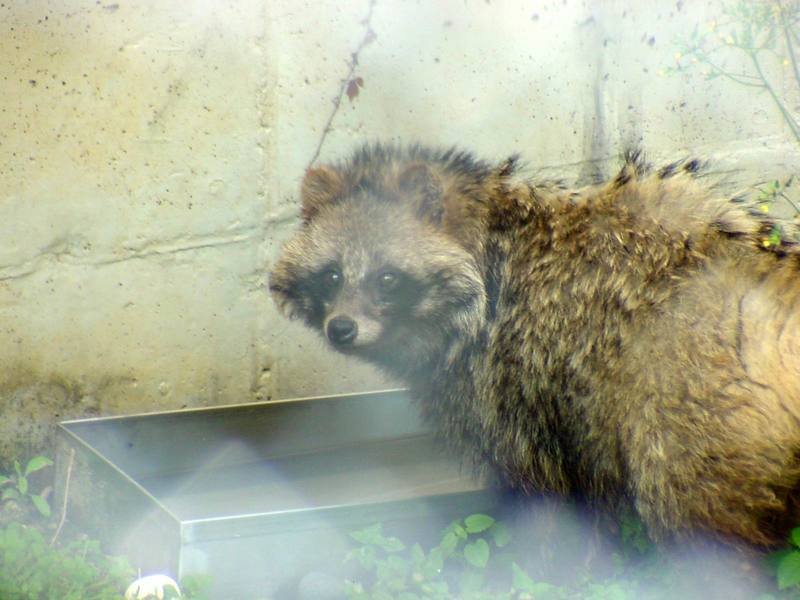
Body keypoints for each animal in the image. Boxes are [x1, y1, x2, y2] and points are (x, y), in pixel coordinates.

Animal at [270, 143, 800, 548]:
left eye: (386, 278)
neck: (489, 239)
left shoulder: (519, 379)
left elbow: (548, 503)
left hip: (684, 409)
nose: (341, 328)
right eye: (332, 275)